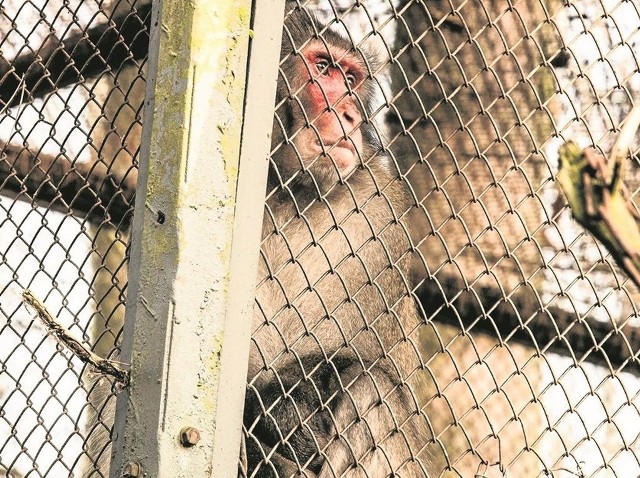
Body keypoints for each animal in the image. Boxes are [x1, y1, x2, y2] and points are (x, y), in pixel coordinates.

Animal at [242, 7, 438, 478]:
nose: (349, 114)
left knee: (371, 387)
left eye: (351, 77)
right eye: (324, 68)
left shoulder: (379, 217)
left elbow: (390, 383)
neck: (288, 193)